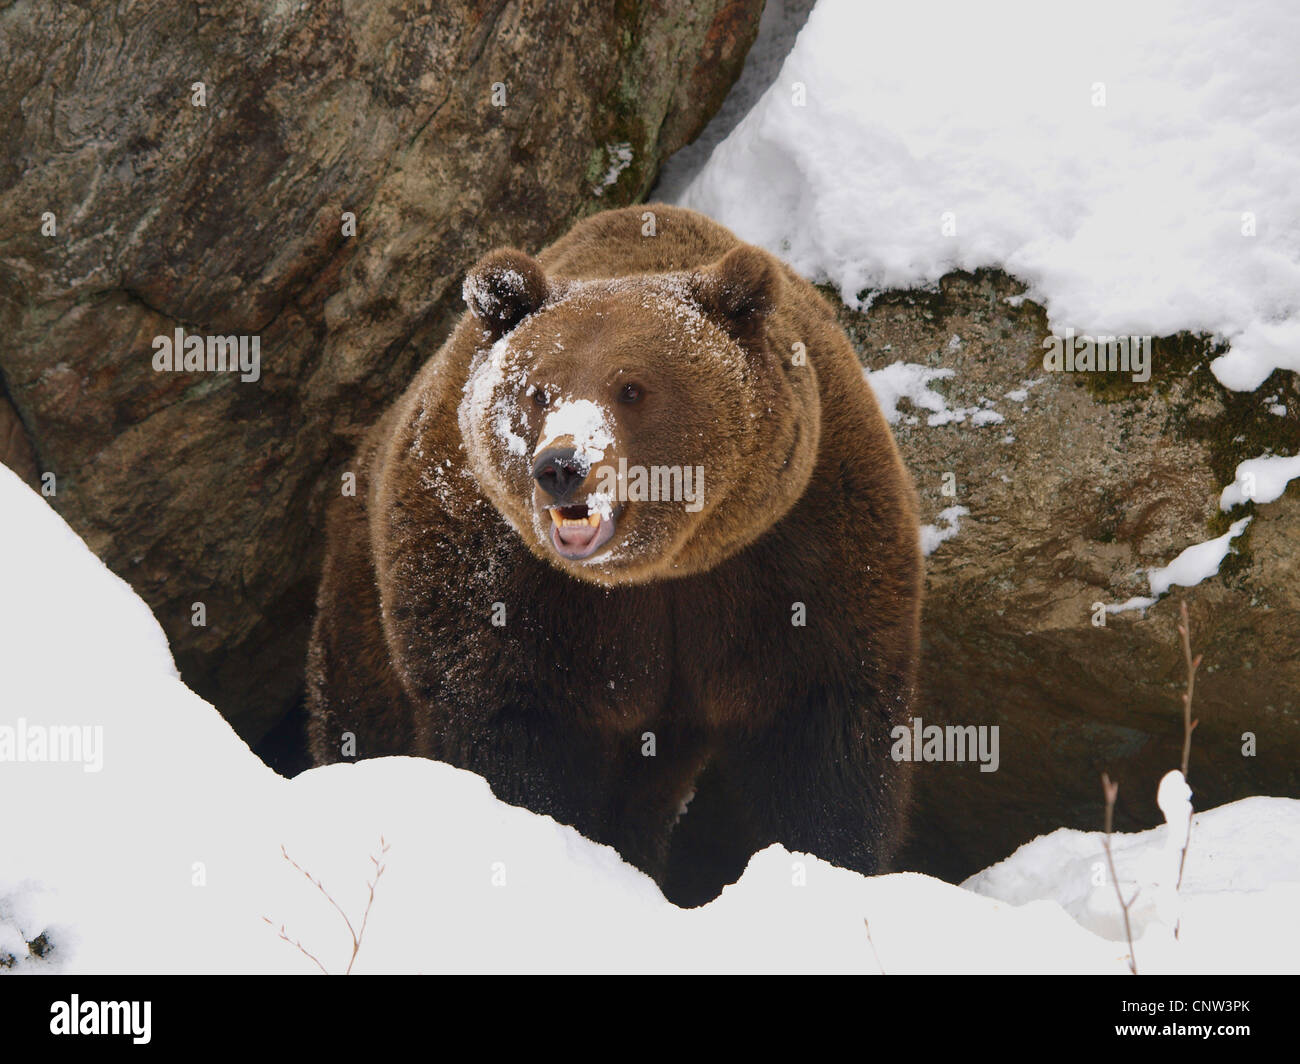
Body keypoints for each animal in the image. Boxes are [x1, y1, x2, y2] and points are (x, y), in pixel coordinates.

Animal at [306, 204, 922, 906]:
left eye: (632, 387)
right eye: (538, 391)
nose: (561, 467)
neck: (662, 571)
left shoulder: (803, 541)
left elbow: (823, 732)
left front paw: (827, 868)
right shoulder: (497, 576)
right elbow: (512, 727)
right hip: (361, 604)